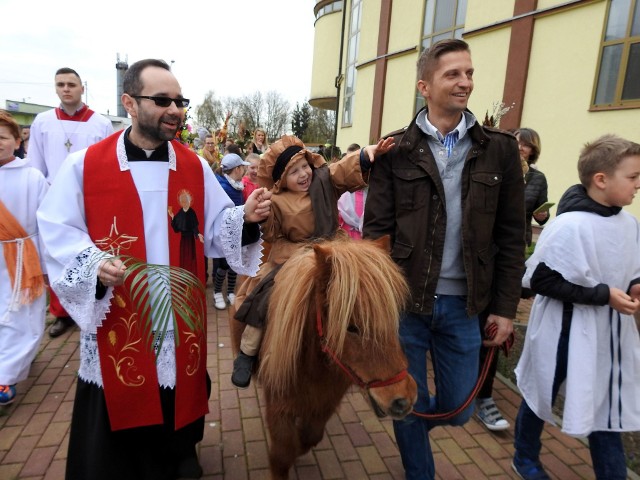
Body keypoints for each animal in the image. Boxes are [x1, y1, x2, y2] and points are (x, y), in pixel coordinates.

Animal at [258, 237, 418, 480]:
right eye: (351, 327)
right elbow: (282, 456)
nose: (403, 400)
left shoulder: (324, 405)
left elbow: (308, 438)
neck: (310, 369)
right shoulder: (279, 409)